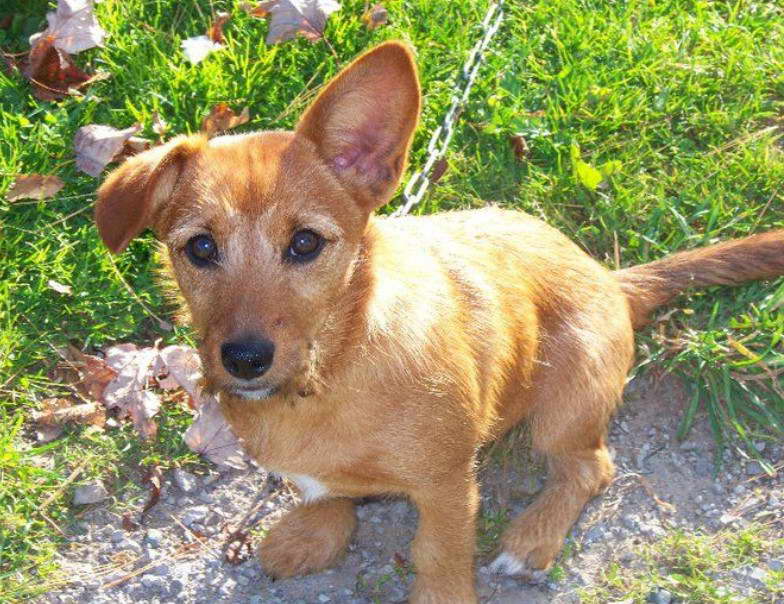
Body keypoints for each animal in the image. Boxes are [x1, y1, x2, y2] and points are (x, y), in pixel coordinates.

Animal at [96, 40, 784, 600]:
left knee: (591, 467)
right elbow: (325, 491)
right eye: (199, 248)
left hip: (566, 404)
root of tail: (610, 280)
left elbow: (439, 556)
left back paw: (532, 537)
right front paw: (313, 531)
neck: (331, 371)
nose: (243, 359)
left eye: (305, 244)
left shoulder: (449, 484)